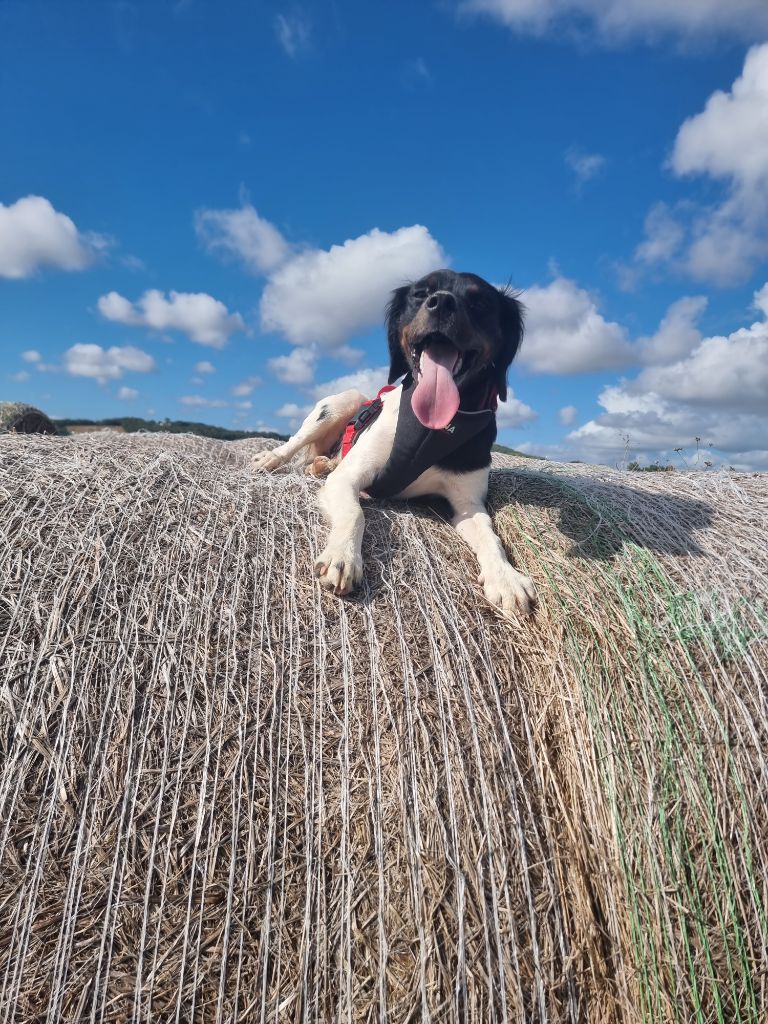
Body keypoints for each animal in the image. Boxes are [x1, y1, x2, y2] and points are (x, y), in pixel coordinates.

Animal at [253, 269, 536, 615]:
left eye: (479, 302)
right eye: (420, 294)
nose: (442, 303)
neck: (431, 431)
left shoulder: (468, 504)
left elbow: (490, 536)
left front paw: (505, 577)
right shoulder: (348, 478)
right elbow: (355, 513)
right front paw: (343, 556)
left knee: (327, 458)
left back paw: (321, 464)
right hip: (342, 401)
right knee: (297, 443)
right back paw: (272, 458)